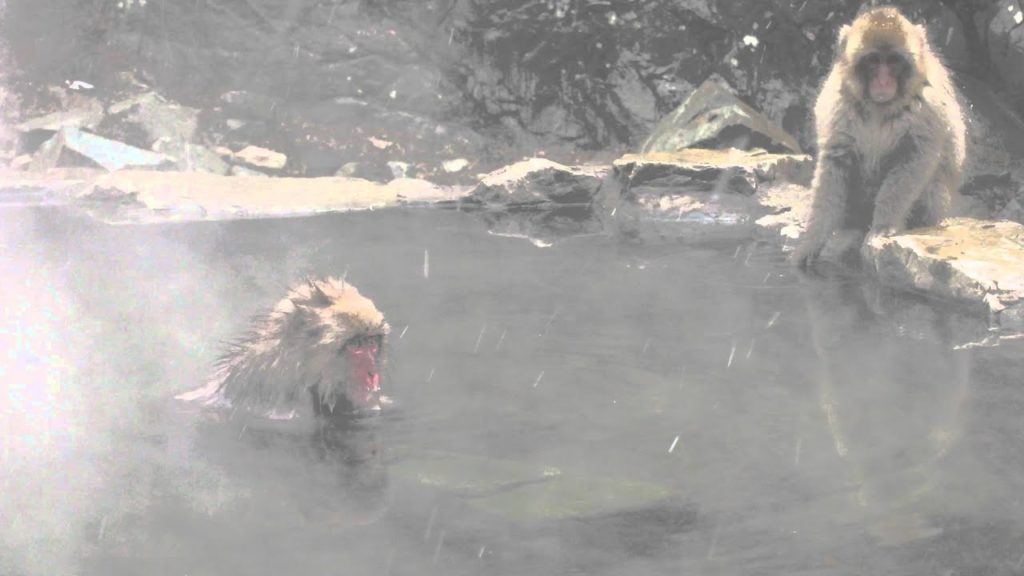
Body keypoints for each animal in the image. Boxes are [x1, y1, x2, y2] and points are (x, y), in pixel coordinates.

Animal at [791, 6, 966, 269]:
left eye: (893, 62)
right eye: (873, 61)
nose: (883, 81)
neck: (879, 107)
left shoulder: (929, 104)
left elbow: (915, 158)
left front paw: (884, 224)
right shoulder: (839, 101)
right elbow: (835, 160)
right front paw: (813, 238)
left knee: (933, 185)